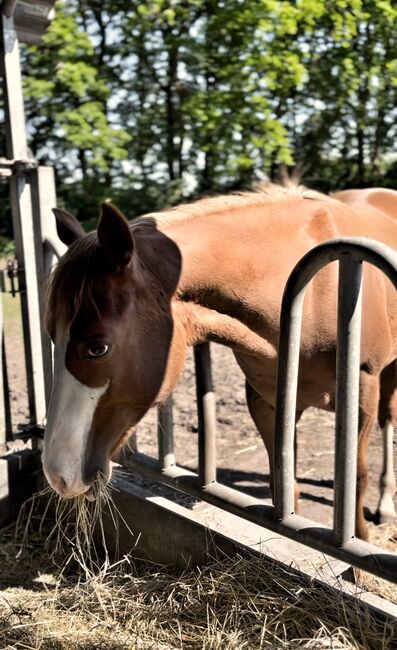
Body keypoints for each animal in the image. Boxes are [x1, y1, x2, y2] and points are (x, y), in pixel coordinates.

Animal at [42, 181, 396, 536]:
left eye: (97, 348)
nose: (58, 475)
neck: (312, 297)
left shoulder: (360, 397)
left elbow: (355, 482)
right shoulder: (268, 401)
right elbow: (285, 485)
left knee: (387, 419)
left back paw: (385, 505)